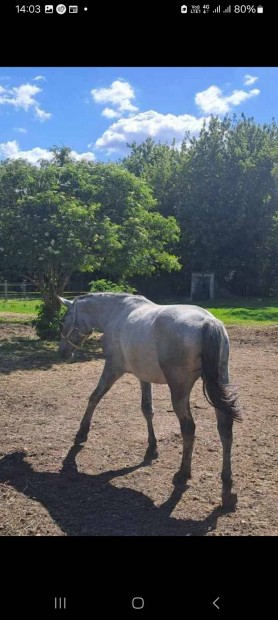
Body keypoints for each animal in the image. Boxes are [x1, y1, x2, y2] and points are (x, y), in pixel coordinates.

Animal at [58, 294, 241, 508]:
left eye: (64, 321)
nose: (62, 352)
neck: (115, 312)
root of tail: (207, 322)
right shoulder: (143, 376)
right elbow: (147, 409)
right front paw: (152, 448)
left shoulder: (113, 368)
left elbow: (95, 396)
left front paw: (82, 433)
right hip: (219, 384)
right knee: (225, 429)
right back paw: (227, 488)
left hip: (179, 390)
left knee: (188, 428)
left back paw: (183, 474)